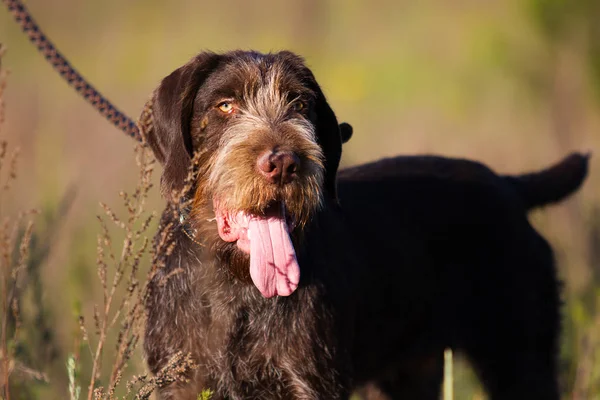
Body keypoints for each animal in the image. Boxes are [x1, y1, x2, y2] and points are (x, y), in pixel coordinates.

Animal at [143, 50, 588, 400]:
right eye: (225, 105)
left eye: (299, 105)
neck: (234, 282)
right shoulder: (178, 385)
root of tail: (509, 186)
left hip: (520, 358)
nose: (285, 163)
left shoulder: (311, 384)